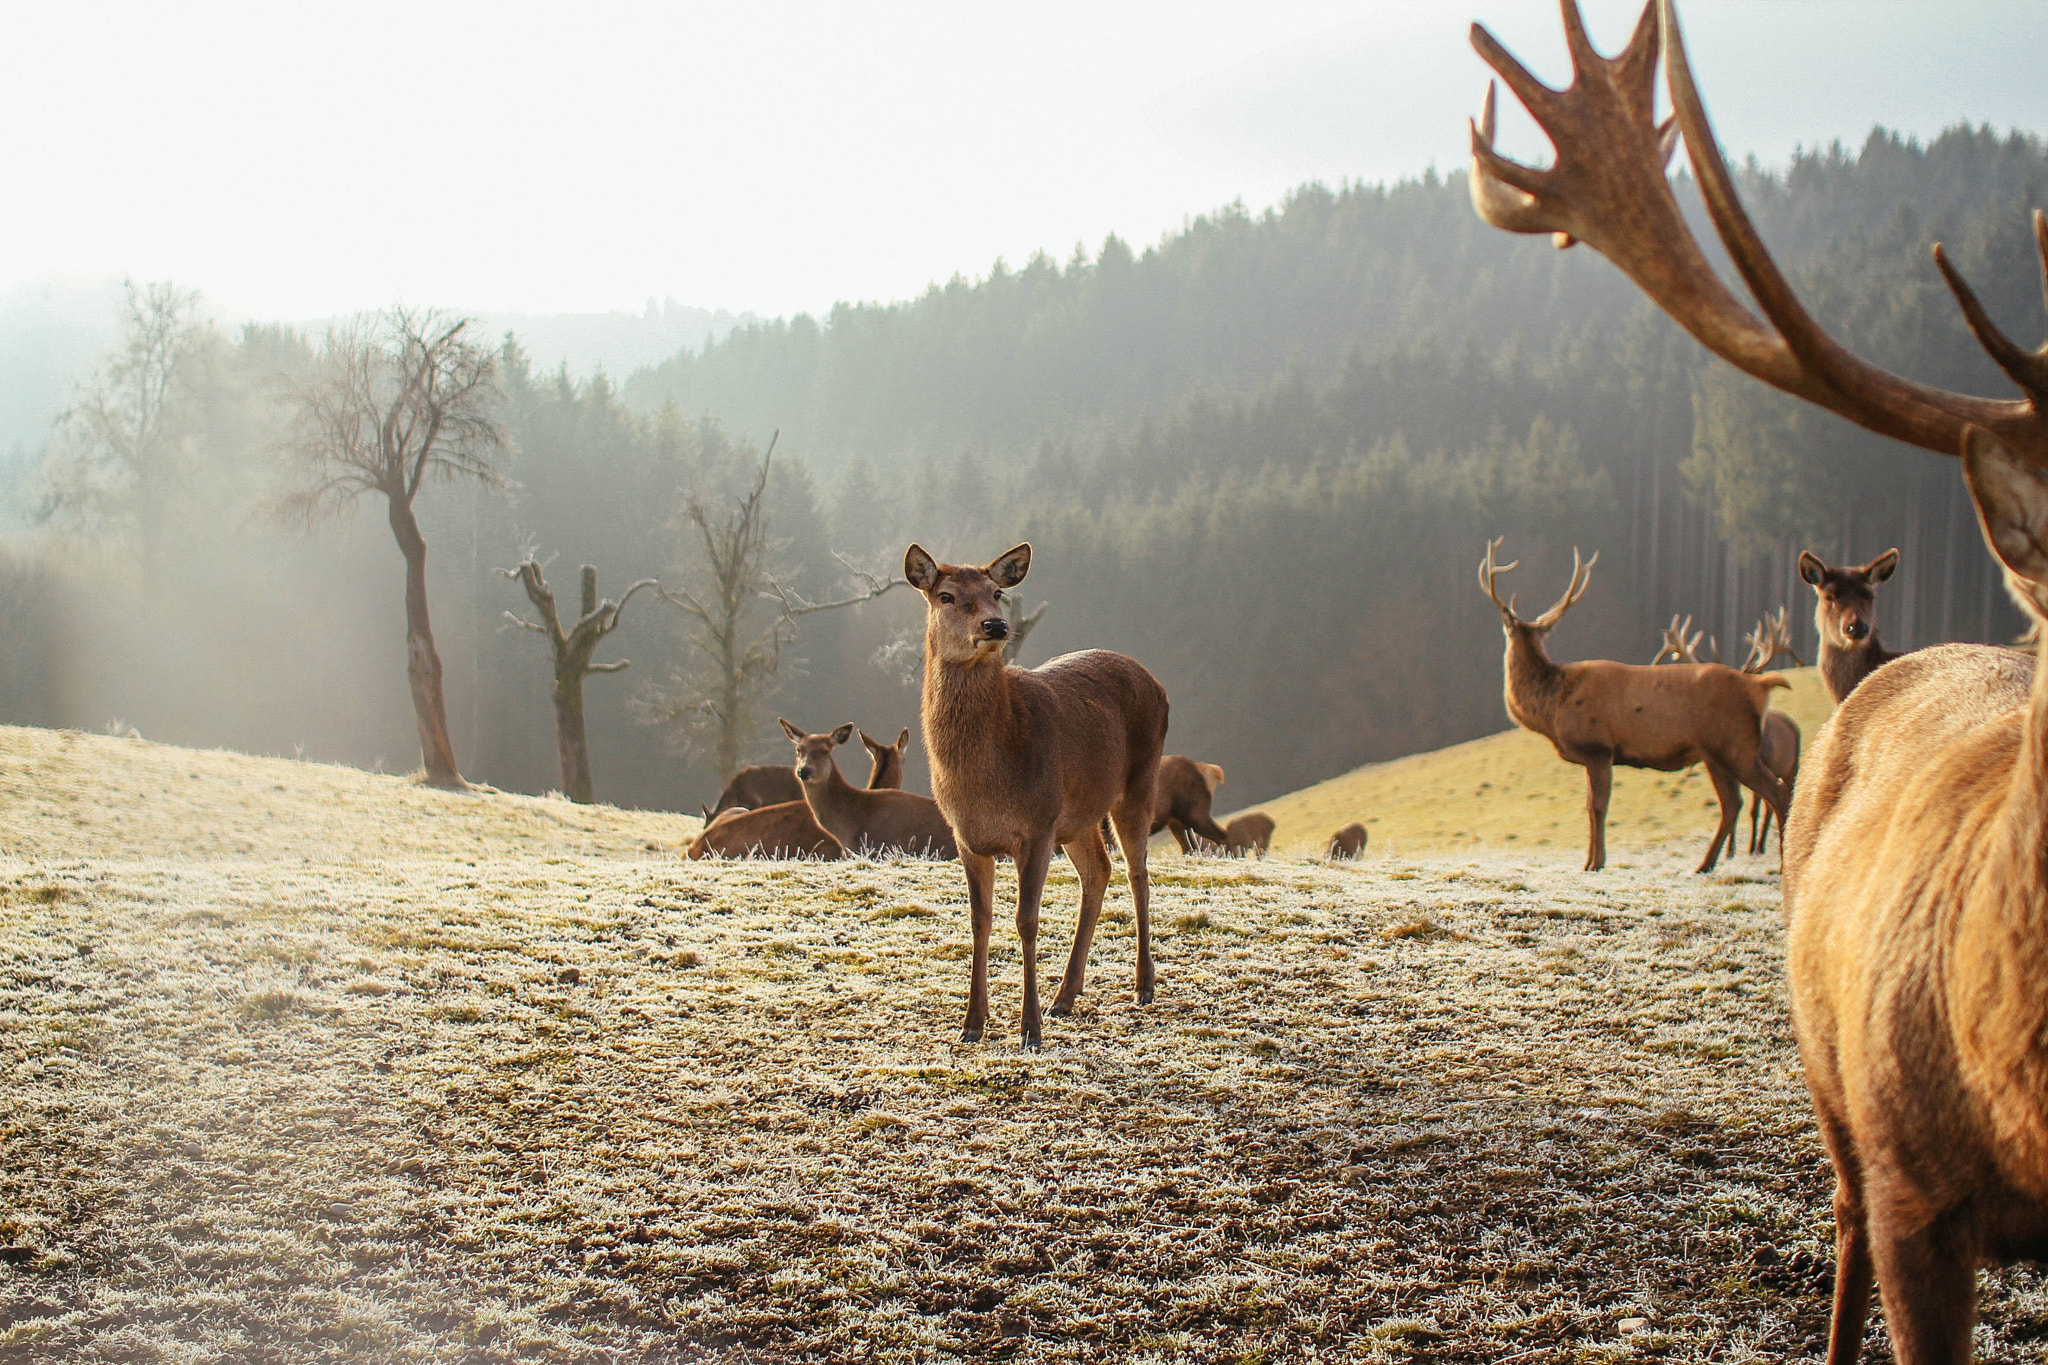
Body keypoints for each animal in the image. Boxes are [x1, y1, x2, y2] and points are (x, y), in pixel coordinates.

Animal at [904, 541, 1169, 1049]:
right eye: (946, 595)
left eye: (997, 593)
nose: (995, 626)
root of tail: (1159, 684)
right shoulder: (966, 837)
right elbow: (979, 920)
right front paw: (972, 1024)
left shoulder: (1037, 825)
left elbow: (1026, 920)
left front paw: (1029, 1030)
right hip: (1079, 815)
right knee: (1099, 872)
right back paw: (1066, 994)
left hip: (1139, 781)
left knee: (1137, 871)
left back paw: (1143, 984)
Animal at [1480, 540, 1789, 873]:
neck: (1553, 708)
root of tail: (1759, 685)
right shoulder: (1593, 757)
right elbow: (1589, 807)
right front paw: (1588, 862)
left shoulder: (1598, 748)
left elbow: (1598, 807)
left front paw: (1596, 863)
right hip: (1715, 754)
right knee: (1733, 803)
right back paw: (1704, 865)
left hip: (1737, 746)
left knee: (1776, 793)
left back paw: (1782, 864)